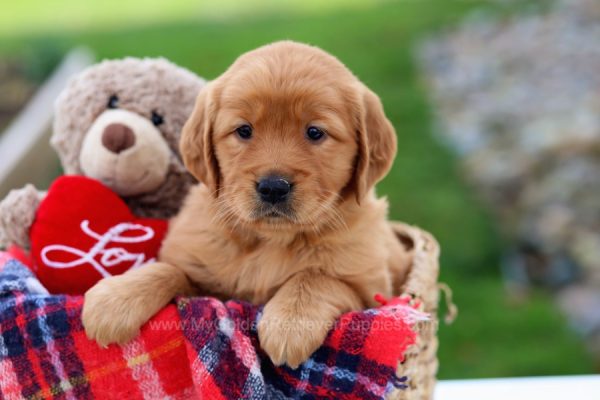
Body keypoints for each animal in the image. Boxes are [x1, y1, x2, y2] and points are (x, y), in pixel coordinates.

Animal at [83, 41, 412, 368]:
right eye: (243, 130)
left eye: (315, 132)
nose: (273, 187)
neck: (271, 241)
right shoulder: (202, 278)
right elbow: (168, 269)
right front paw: (115, 299)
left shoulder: (372, 289)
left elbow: (316, 277)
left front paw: (290, 323)